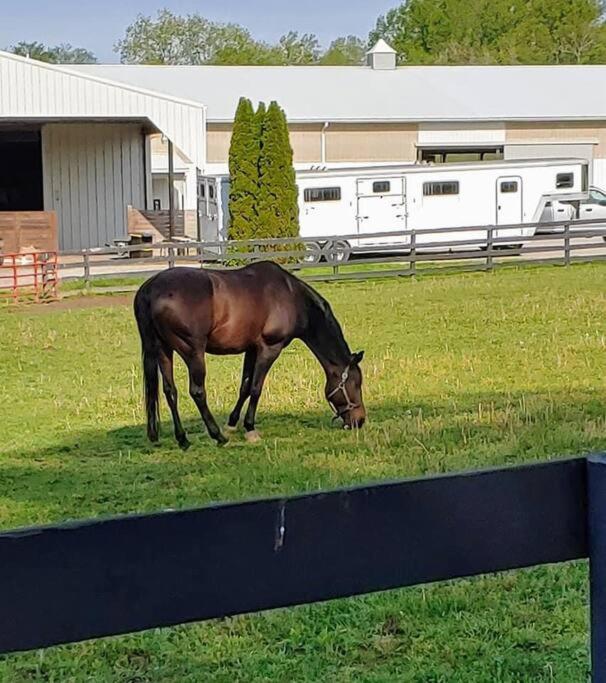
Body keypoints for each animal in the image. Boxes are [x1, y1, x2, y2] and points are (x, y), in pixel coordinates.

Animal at [133, 261, 366, 447]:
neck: (291, 296)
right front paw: (250, 428)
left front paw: (232, 424)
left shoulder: (251, 349)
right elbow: (256, 388)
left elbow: (244, 387)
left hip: (163, 349)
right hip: (192, 351)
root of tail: (150, 288)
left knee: (170, 391)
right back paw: (217, 436)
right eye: (354, 384)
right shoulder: (269, 348)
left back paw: (183, 439)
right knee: (197, 392)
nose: (360, 420)